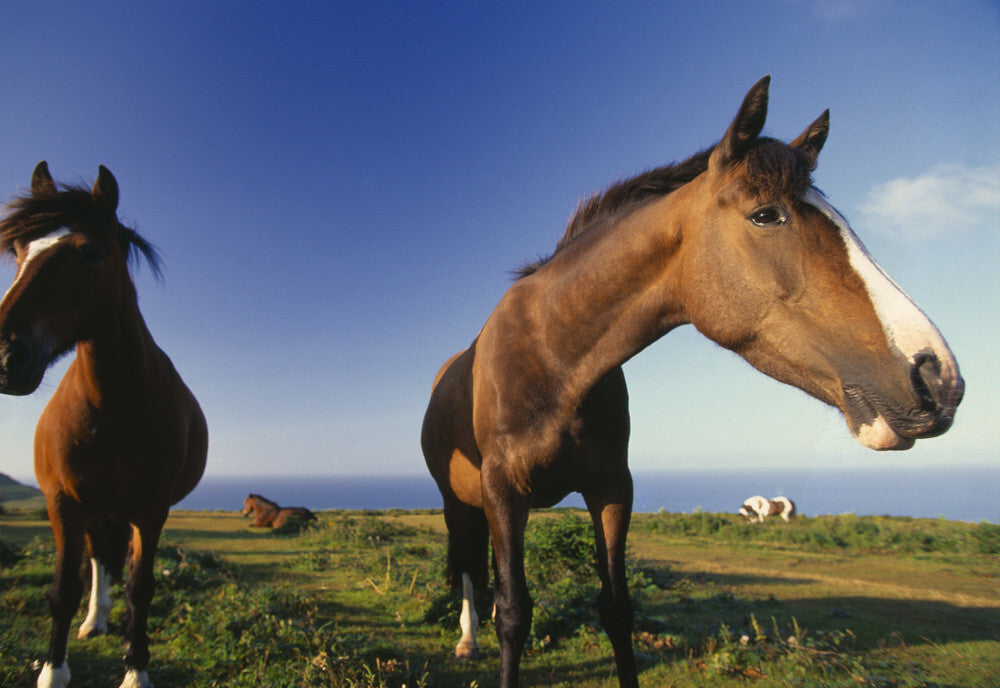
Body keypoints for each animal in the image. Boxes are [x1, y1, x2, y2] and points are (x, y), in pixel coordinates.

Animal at [0, 163, 208, 688]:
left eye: (91, 254)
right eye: (18, 252)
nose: (5, 355)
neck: (112, 406)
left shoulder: (152, 510)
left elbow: (141, 587)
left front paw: (136, 670)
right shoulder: (63, 503)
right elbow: (63, 588)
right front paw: (53, 671)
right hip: (95, 509)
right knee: (97, 559)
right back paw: (94, 620)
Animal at [420, 77, 963, 688]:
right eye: (766, 215)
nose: (937, 377)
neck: (552, 354)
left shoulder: (612, 490)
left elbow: (616, 608)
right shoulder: (503, 492)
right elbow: (513, 613)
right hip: (460, 501)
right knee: (470, 569)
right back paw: (466, 639)